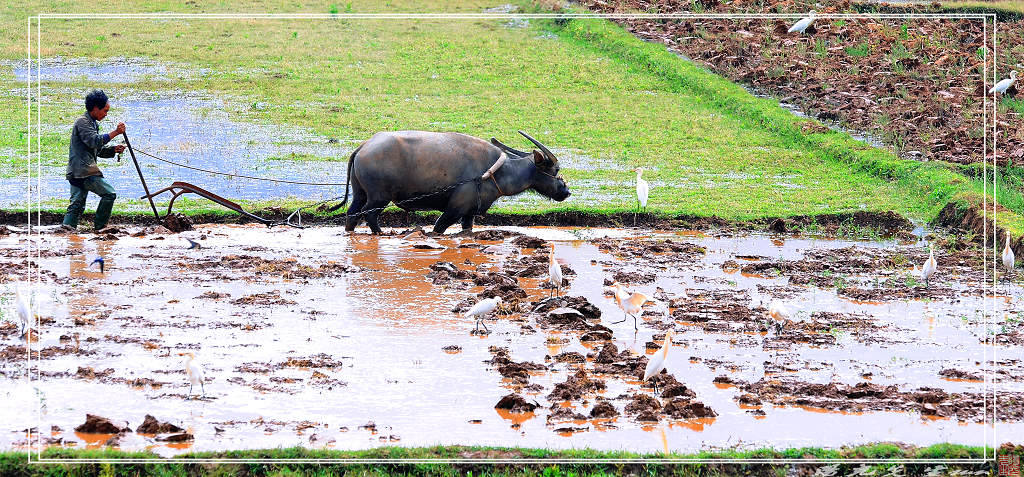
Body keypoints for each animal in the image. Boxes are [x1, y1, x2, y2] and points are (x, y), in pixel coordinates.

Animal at [335, 130, 577, 234]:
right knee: (369, 215)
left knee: (352, 213)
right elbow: (437, 228)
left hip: (361, 193)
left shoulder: (469, 214)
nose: (566, 191)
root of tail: (364, 147)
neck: (497, 172)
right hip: (379, 198)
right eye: (556, 169)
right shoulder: (454, 209)